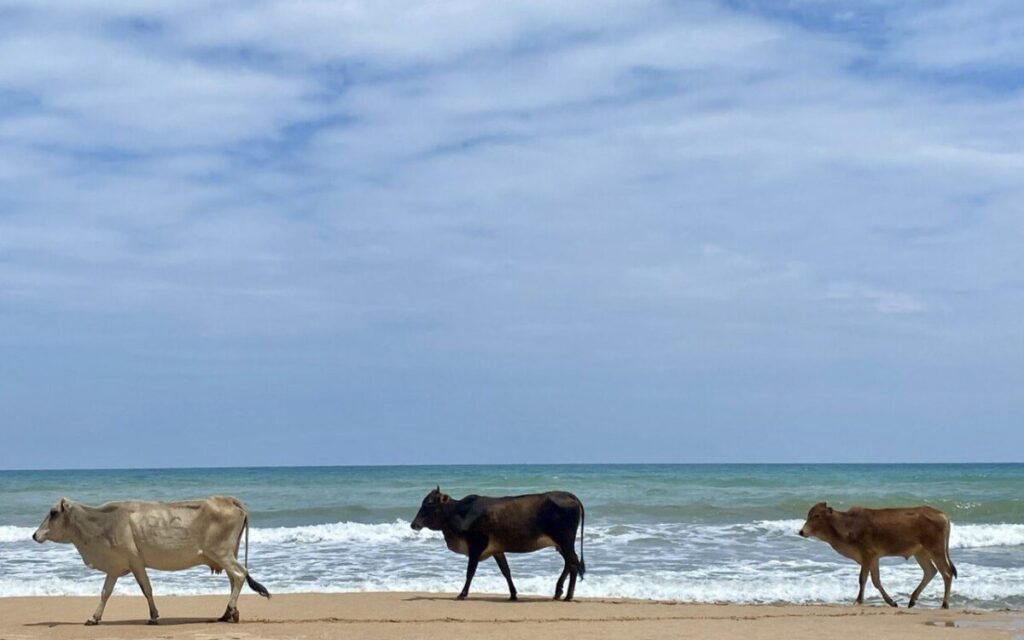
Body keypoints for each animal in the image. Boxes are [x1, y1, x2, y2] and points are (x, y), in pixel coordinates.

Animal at [32, 496, 271, 625]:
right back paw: (228, 614)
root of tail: (228, 499)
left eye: (53, 512)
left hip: (221, 552)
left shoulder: (135, 562)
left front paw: (154, 617)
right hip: (226, 554)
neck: (103, 522)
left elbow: (146, 589)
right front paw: (94, 618)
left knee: (240, 574)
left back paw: (229, 611)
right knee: (234, 578)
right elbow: (106, 592)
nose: (35, 535)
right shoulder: (115, 566)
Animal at [411, 487, 585, 601]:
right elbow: (506, 571)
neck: (459, 513)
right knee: (570, 563)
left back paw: (568, 596)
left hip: (565, 541)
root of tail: (568, 495)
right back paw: (559, 592)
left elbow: (470, 572)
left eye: (429, 503)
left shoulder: (476, 547)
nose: (413, 524)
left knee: (573, 563)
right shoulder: (497, 550)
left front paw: (462, 594)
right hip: (561, 545)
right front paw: (513, 594)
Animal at [798, 501, 957, 609]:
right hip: (921, 553)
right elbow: (876, 581)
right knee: (931, 571)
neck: (847, 525)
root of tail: (943, 515)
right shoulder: (874, 558)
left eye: (816, 515)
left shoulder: (867, 555)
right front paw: (891, 602)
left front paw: (858, 601)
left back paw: (944, 604)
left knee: (946, 573)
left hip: (936, 549)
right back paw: (912, 600)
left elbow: (862, 579)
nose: (801, 531)